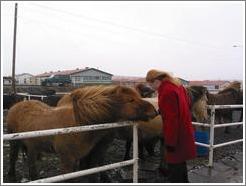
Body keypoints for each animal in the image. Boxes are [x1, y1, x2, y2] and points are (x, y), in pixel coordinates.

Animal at [7, 85, 158, 182]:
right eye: (130, 100)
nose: (155, 111)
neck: (80, 124)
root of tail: (17, 105)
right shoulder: (67, 160)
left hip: (33, 146)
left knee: (31, 162)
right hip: (14, 142)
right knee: (13, 158)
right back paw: (12, 176)